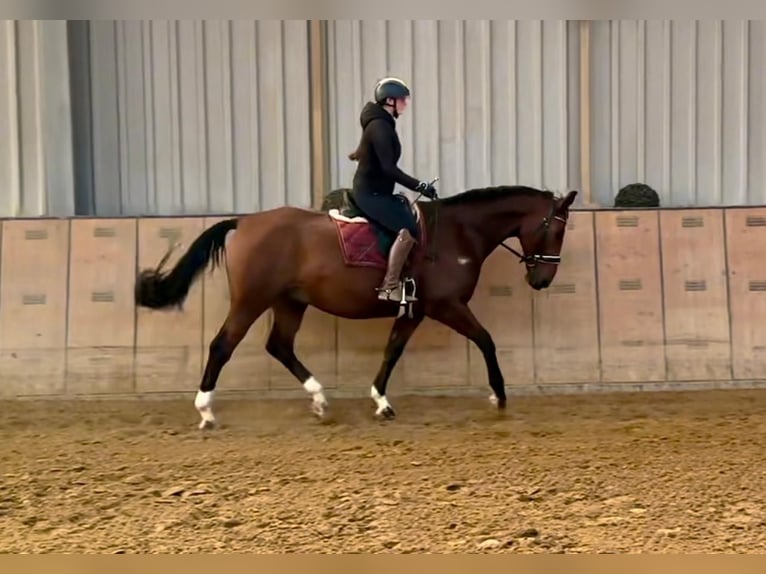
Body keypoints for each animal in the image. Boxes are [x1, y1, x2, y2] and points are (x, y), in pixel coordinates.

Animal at [135, 186, 580, 432]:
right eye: (556, 229)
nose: (542, 280)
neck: (458, 233)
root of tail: (243, 222)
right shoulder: (445, 305)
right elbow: (486, 340)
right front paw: (499, 396)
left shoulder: (414, 310)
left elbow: (392, 350)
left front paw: (381, 401)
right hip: (252, 299)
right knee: (222, 345)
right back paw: (206, 412)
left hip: (289, 301)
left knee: (279, 346)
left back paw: (319, 400)